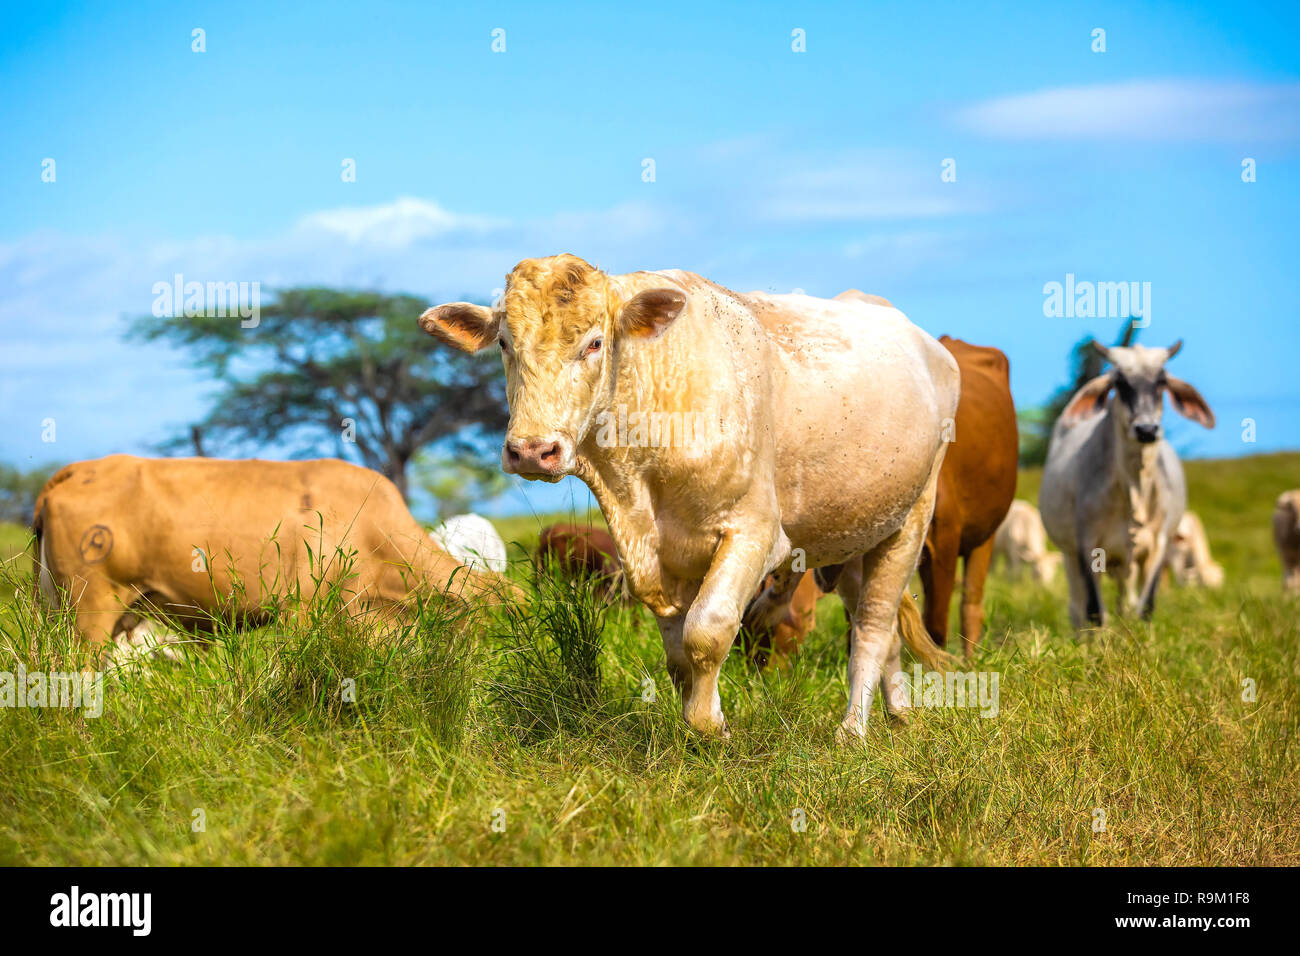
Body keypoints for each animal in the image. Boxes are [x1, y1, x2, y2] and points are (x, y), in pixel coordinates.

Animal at [1034, 343, 1216, 629]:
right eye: (1119, 382)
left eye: (1161, 381)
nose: (1146, 429)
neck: (1133, 487)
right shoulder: (1087, 547)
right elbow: (1095, 612)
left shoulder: (1158, 546)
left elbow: (1146, 608)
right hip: (1070, 555)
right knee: (1077, 607)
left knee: (1126, 602)